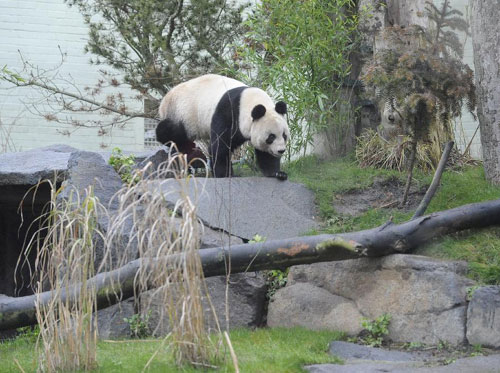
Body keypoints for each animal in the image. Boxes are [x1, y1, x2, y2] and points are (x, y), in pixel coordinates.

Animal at [155, 73, 290, 179]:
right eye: (271, 137)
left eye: (284, 135)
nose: (281, 150)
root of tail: (164, 100)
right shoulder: (228, 112)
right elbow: (220, 146)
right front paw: (225, 174)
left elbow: (266, 153)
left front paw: (278, 173)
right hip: (183, 114)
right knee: (171, 131)